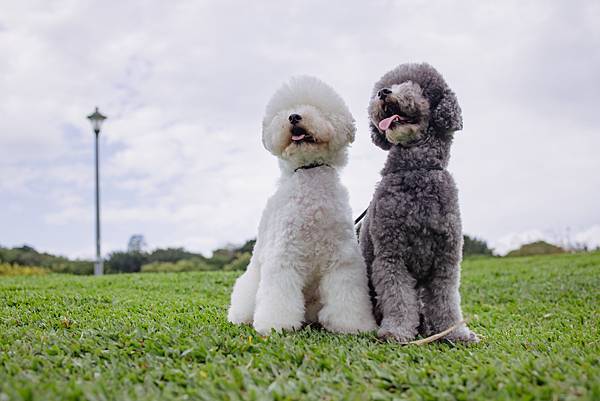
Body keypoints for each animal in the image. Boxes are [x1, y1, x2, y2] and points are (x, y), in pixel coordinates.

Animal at [229, 76, 376, 332]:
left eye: (316, 108)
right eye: (285, 110)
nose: (294, 116)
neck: (310, 171)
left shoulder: (343, 259)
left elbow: (348, 295)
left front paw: (353, 325)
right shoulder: (284, 256)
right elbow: (279, 296)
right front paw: (275, 326)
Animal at [360, 61, 478, 340]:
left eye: (417, 85)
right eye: (388, 83)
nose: (383, 92)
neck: (416, 171)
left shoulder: (446, 260)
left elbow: (446, 299)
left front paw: (455, 333)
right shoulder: (391, 255)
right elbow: (398, 297)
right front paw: (397, 332)